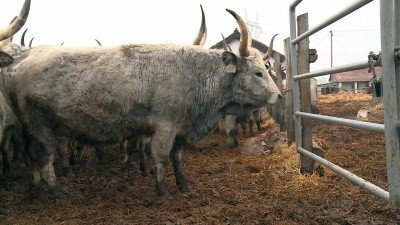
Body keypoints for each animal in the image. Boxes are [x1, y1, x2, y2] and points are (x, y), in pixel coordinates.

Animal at [6, 7, 282, 199]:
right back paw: (57, 191)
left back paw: (35, 191)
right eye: (258, 72)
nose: (279, 95)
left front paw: (183, 185)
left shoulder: (180, 130)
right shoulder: (164, 128)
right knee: (44, 158)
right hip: (42, 127)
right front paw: (163, 191)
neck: (193, 74)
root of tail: (19, 65)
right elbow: (160, 157)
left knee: (32, 158)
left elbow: (177, 158)